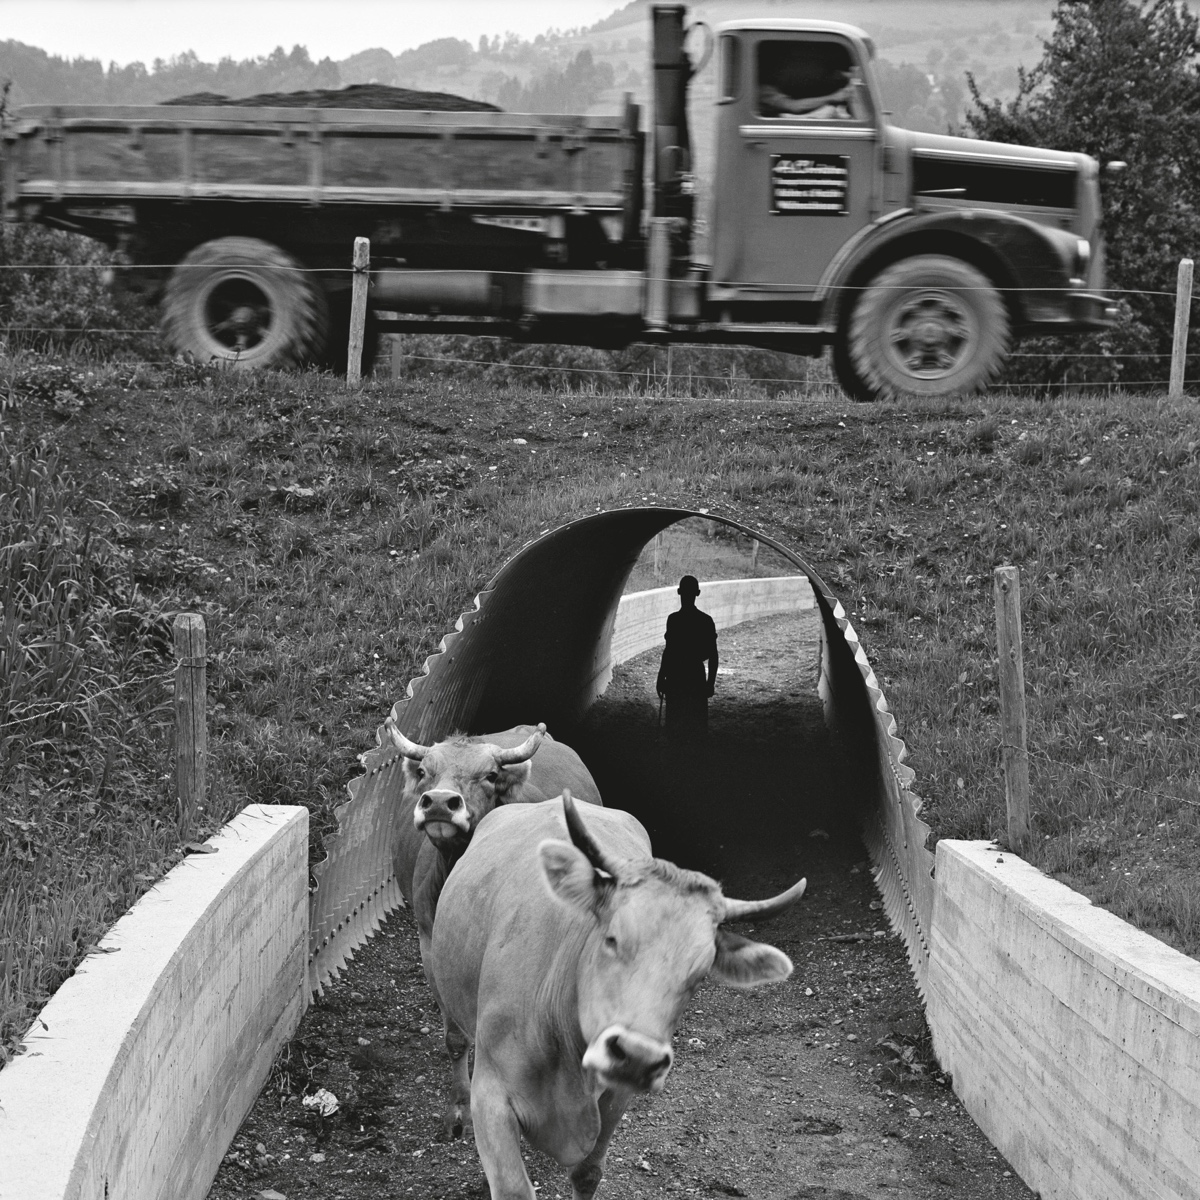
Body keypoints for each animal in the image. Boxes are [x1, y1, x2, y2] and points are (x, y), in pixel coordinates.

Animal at [384, 715, 604, 1137]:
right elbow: (455, 1036)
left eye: (489, 775)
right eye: (425, 771)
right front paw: (460, 1108)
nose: (440, 802)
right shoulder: (429, 941)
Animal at [432, 792, 806, 1195]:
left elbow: (588, 1173)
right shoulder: (491, 1097)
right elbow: (513, 1187)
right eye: (612, 937)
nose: (638, 1056)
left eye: (701, 973)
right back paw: (456, 1110)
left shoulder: (616, 1098)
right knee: (455, 1040)